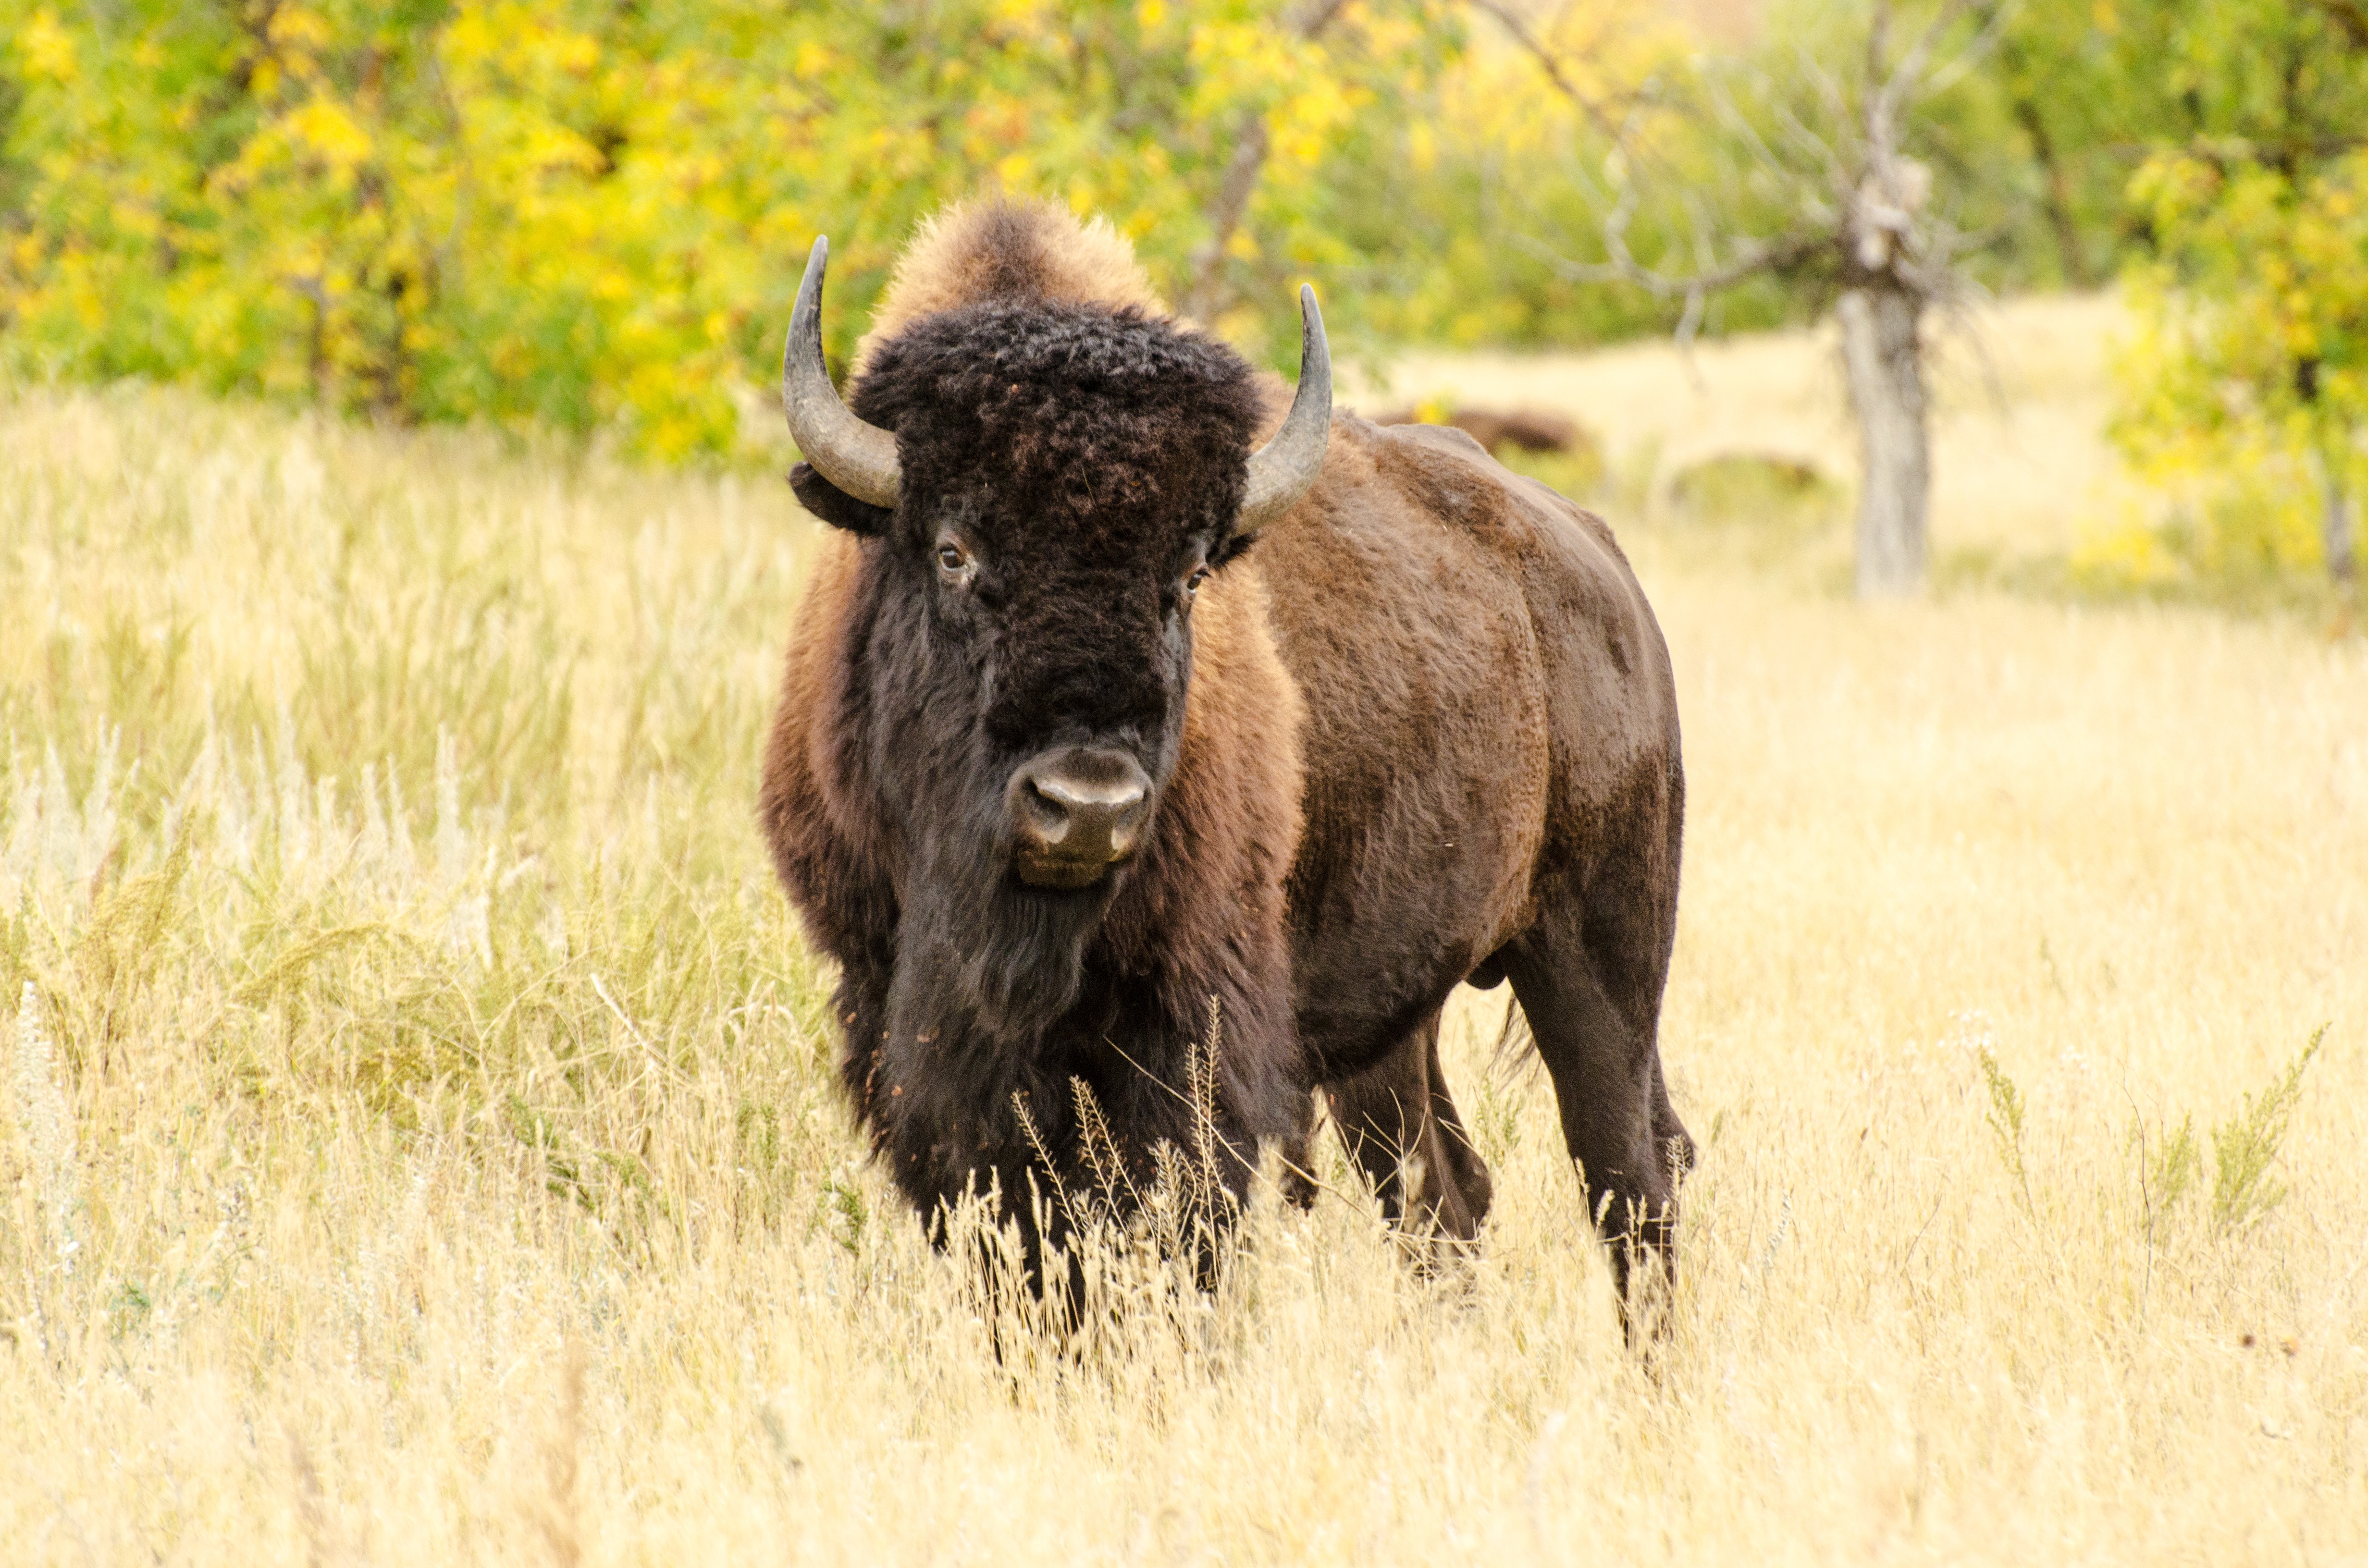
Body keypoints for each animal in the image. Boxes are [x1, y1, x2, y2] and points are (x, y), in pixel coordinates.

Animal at [757, 196, 1686, 1326]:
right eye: (952, 550)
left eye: (1192, 573)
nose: (1086, 806)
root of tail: (1594, 557)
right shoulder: (899, 1016)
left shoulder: (1195, 1036)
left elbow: (1174, 1232)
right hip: (1396, 1024)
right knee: (1442, 1191)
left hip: (1601, 952)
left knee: (1629, 1183)